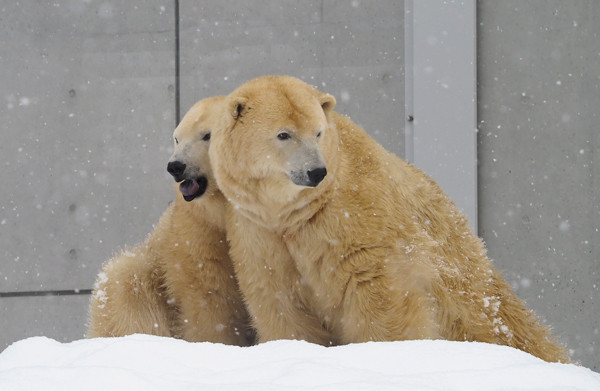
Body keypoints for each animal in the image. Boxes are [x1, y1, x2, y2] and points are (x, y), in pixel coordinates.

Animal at [86, 97, 251, 346]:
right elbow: (209, 297)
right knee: (126, 281)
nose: (176, 166)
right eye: (177, 138)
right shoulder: (195, 235)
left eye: (207, 135)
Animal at [209, 76, 568, 364]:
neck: (296, 214)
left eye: (318, 132)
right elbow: (281, 301)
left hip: (464, 275)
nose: (316, 171)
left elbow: (376, 289)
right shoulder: (259, 232)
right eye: (284, 134)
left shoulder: (353, 215)